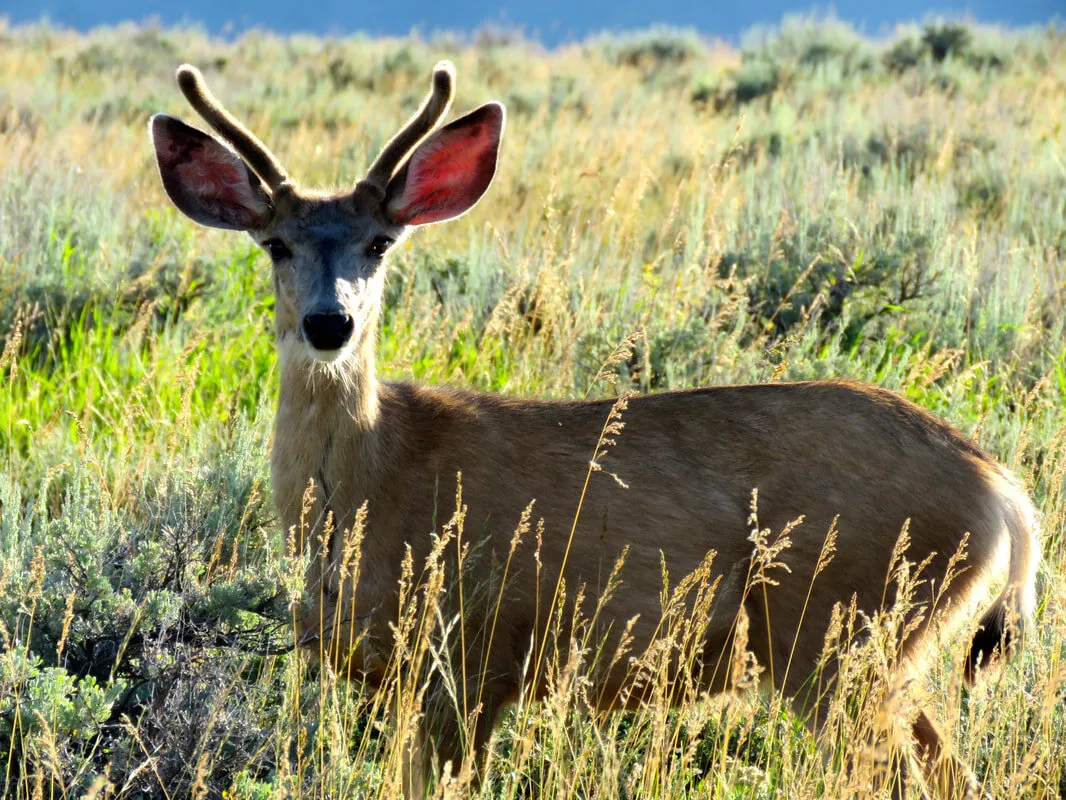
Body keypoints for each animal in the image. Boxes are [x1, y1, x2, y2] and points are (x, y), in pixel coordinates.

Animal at [149, 61, 1039, 799]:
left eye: (379, 242)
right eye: (274, 243)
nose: (329, 322)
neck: (379, 480)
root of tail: (1004, 492)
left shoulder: (474, 655)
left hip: (840, 631)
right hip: (877, 651)